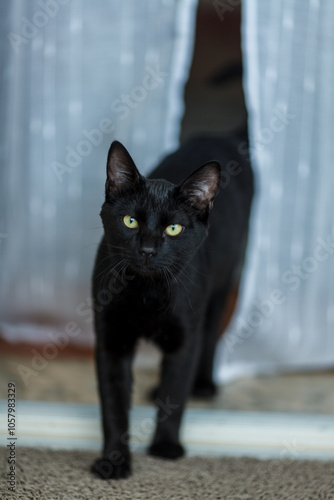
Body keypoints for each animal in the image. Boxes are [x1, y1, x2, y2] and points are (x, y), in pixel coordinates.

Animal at [91, 135, 253, 478]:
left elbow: (175, 392)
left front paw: (166, 446)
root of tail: (221, 136)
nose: (148, 249)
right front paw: (114, 461)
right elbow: (113, 404)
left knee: (209, 337)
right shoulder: (111, 341)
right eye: (130, 221)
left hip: (221, 287)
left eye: (173, 228)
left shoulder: (184, 338)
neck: (146, 292)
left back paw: (203, 384)